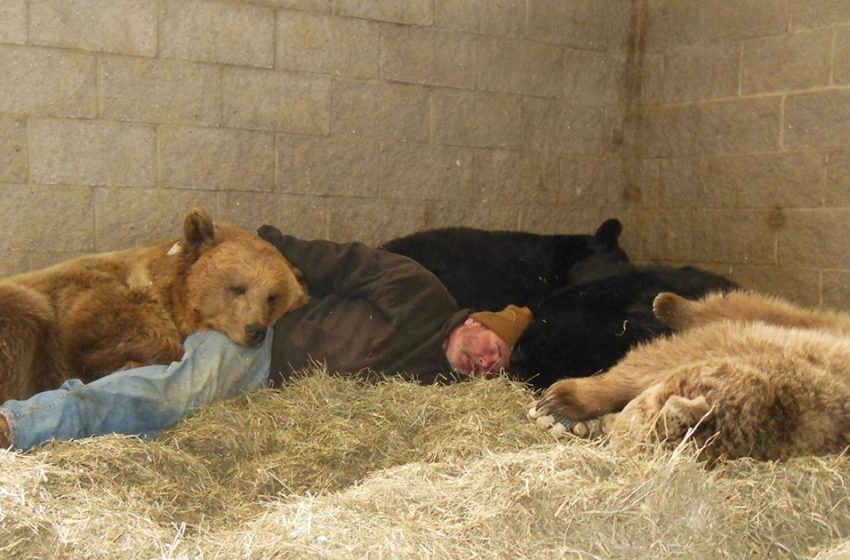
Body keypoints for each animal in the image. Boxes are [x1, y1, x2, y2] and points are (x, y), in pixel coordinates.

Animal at [528, 290, 848, 462]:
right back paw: (669, 303)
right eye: (637, 412)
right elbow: (653, 360)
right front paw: (563, 399)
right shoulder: (752, 344)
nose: (607, 426)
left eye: (629, 428)